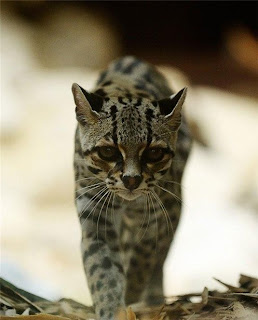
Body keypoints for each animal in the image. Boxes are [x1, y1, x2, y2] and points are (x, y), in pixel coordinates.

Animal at [72, 56, 191, 318]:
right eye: (108, 151)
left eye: (154, 153)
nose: (131, 180)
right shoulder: (96, 216)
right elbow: (103, 271)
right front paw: (111, 309)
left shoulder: (157, 214)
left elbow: (143, 257)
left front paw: (132, 295)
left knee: (160, 256)